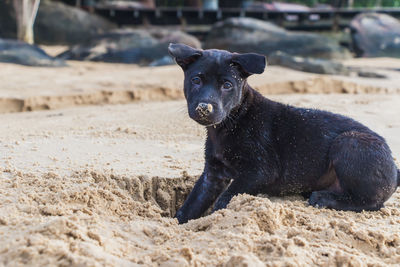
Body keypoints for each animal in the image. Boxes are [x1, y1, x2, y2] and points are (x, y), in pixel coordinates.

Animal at [169, 43, 400, 225]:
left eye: (227, 85)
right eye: (196, 80)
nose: (204, 108)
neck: (231, 123)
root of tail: (394, 168)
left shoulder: (258, 171)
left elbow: (225, 199)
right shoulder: (213, 174)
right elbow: (192, 203)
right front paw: (177, 224)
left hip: (349, 142)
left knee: (373, 203)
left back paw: (324, 199)